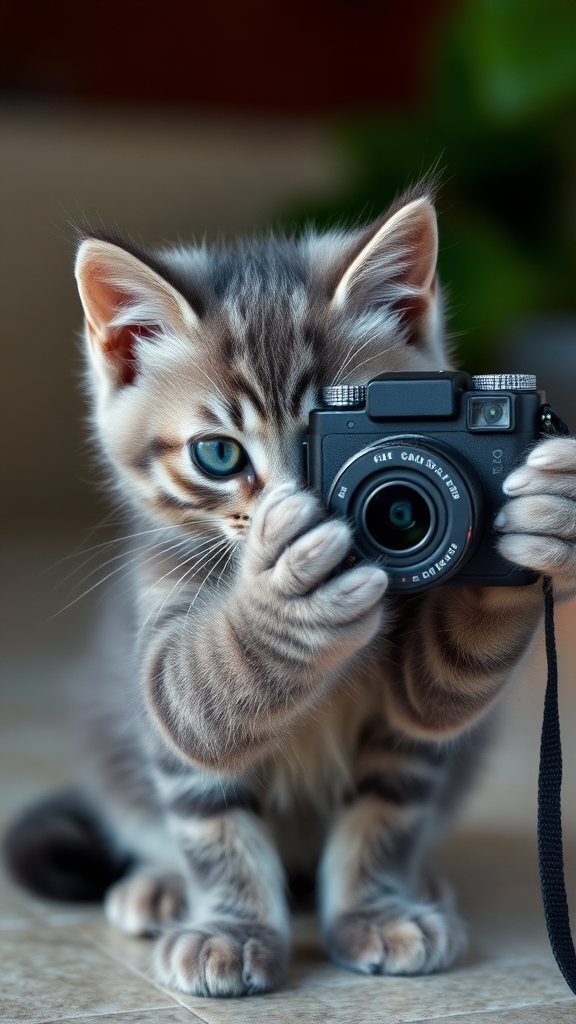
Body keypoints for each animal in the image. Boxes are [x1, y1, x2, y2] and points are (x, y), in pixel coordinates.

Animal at [4, 188, 573, 995]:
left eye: (324, 425)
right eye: (218, 455)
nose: (295, 511)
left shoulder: (411, 722)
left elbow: (401, 774)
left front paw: (376, 910)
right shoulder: (164, 661)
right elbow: (207, 780)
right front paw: (231, 929)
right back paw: (160, 885)